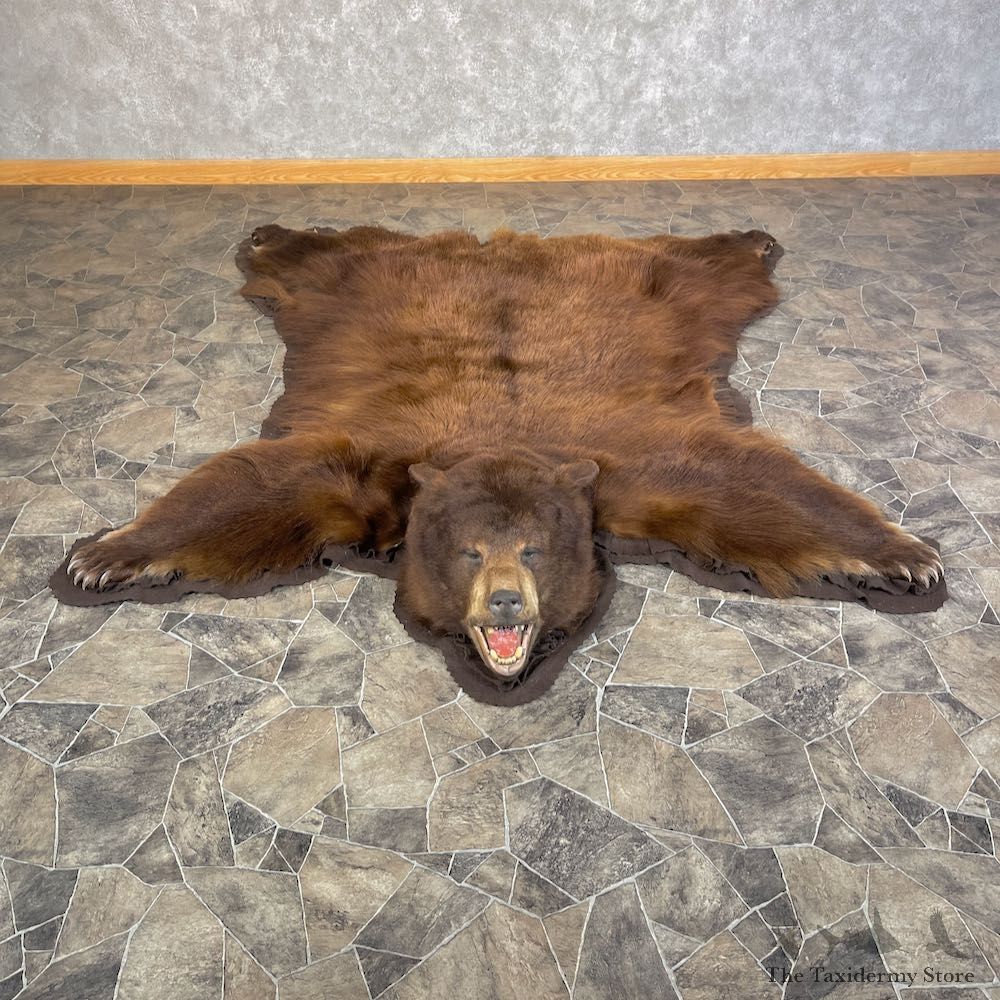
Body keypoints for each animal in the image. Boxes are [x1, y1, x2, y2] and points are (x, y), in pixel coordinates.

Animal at [62, 223, 943, 681]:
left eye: (535, 550)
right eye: (469, 552)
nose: (506, 605)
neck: (498, 445)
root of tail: (507, 243)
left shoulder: (632, 465)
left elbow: (748, 486)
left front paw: (902, 555)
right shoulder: (369, 467)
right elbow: (259, 485)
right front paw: (107, 556)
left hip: (670, 286)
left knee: (704, 263)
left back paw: (752, 240)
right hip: (346, 284)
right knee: (322, 255)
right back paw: (268, 234)